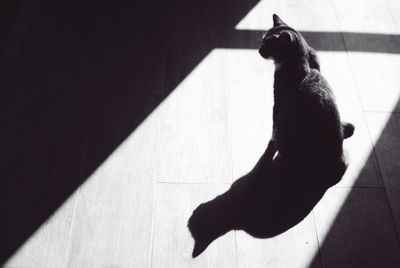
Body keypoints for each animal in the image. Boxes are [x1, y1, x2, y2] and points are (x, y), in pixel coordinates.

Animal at [189, 14, 354, 258]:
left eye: (268, 44)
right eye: (262, 42)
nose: (259, 50)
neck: (303, 60)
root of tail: (332, 170)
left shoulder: (278, 108)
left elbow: (272, 136)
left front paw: (268, 149)